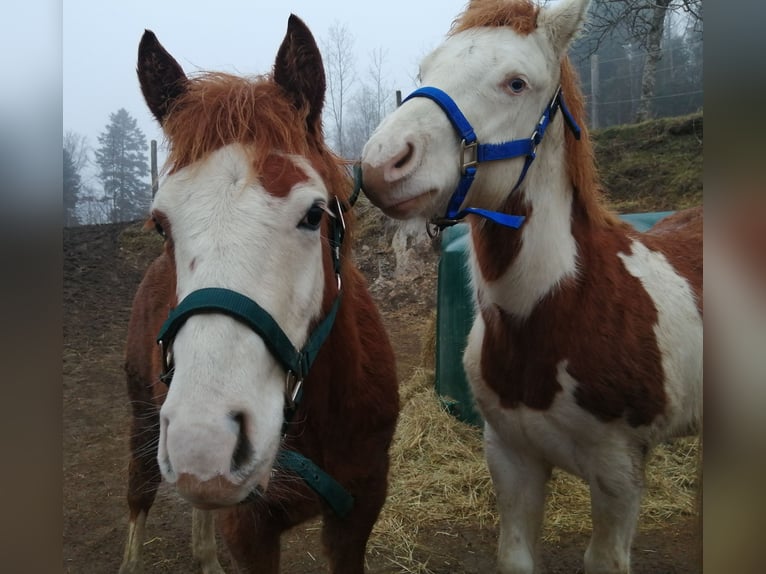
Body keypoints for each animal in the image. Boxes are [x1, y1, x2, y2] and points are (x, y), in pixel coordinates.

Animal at [119, 14, 400, 574]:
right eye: (161, 224)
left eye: (314, 214)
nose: (203, 443)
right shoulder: (249, 530)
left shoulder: (359, 511)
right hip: (143, 421)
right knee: (139, 496)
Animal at [364, 1, 704, 574]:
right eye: (426, 70)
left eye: (516, 82)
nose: (381, 163)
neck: (565, 308)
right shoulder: (511, 457)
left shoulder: (619, 477)